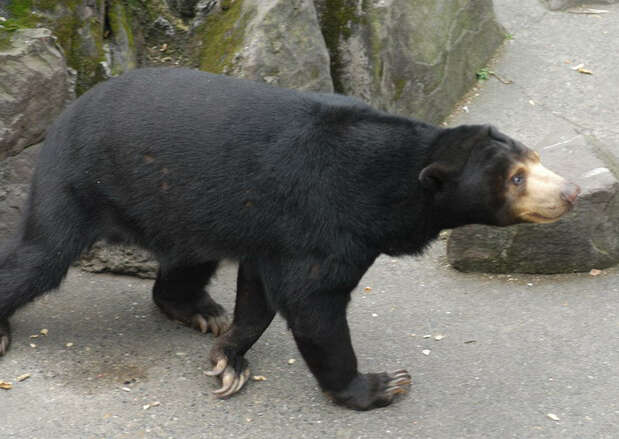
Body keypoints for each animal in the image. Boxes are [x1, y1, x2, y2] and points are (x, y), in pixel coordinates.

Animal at [0, 68, 580, 410]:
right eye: (516, 179)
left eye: (534, 159)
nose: (572, 192)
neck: (392, 184)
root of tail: (70, 108)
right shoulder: (326, 219)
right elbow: (312, 302)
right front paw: (381, 384)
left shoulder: (275, 230)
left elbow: (260, 291)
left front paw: (227, 357)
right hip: (78, 180)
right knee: (40, 257)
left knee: (191, 257)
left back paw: (199, 309)